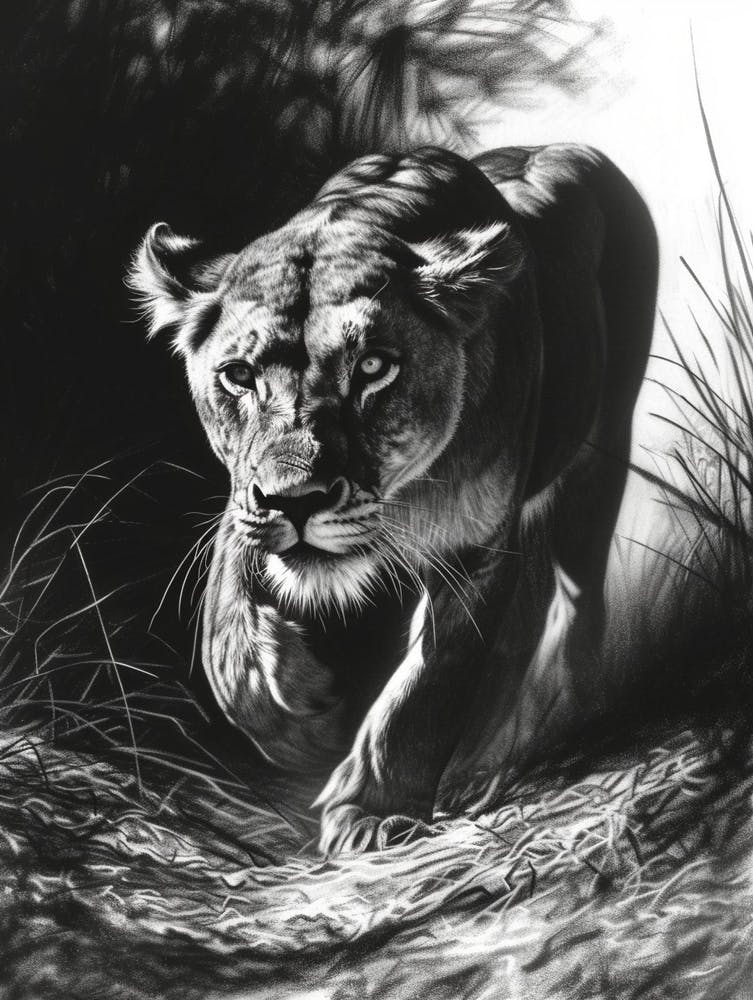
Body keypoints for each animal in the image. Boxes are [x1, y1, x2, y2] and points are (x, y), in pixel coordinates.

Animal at [130, 144, 657, 855]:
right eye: (240, 375)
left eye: (374, 368)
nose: (296, 501)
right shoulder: (242, 507)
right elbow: (224, 635)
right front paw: (305, 723)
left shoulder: (473, 549)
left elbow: (425, 690)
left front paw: (370, 812)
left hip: (597, 460)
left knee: (577, 603)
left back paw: (556, 716)